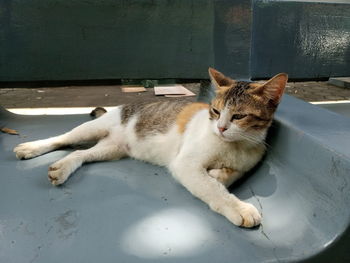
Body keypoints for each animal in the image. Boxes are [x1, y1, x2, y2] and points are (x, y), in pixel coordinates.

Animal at [13, 68, 288, 229]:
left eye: (239, 116)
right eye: (216, 111)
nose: (220, 128)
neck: (235, 146)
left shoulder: (247, 161)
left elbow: (229, 175)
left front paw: (219, 174)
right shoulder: (185, 164)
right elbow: (212, 189)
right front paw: (238, 207)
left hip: (112, 149)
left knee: (80, 153)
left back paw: (62, 167)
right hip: (91, 129)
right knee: (62, 138)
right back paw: (31, 147)